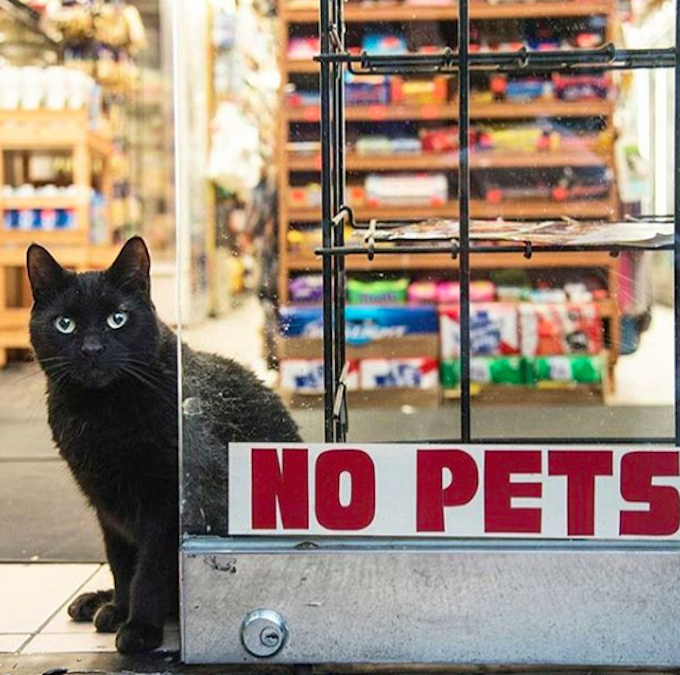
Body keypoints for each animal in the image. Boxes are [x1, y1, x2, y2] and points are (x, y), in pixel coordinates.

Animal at [28, 239, 300, 656]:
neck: (102, 414)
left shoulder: (171, 506)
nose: (92, 348)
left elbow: (151, 571)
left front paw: (139, 627)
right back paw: (94, 601)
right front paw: (119, 609)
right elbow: (121, 563)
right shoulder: (107, 507)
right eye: (65, 323)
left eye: (117, 319)